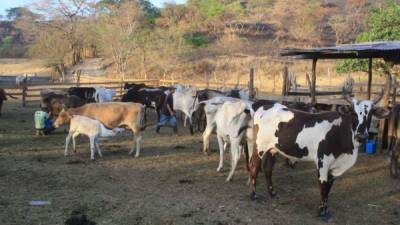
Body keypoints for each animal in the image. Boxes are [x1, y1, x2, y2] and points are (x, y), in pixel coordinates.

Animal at [248, 92, 390, 220]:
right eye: (353, 113)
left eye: (371, 114)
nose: (362, 136)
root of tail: (266, 105)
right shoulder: (323, 162)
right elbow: (323, 186)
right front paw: (321, 212)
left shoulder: (335, 167)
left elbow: (328, 188)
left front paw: (325, 210)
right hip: (259, 146)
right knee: (254, 166)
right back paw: (253, 195)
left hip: (273, 149)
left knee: (268, 168)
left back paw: (272, 193)